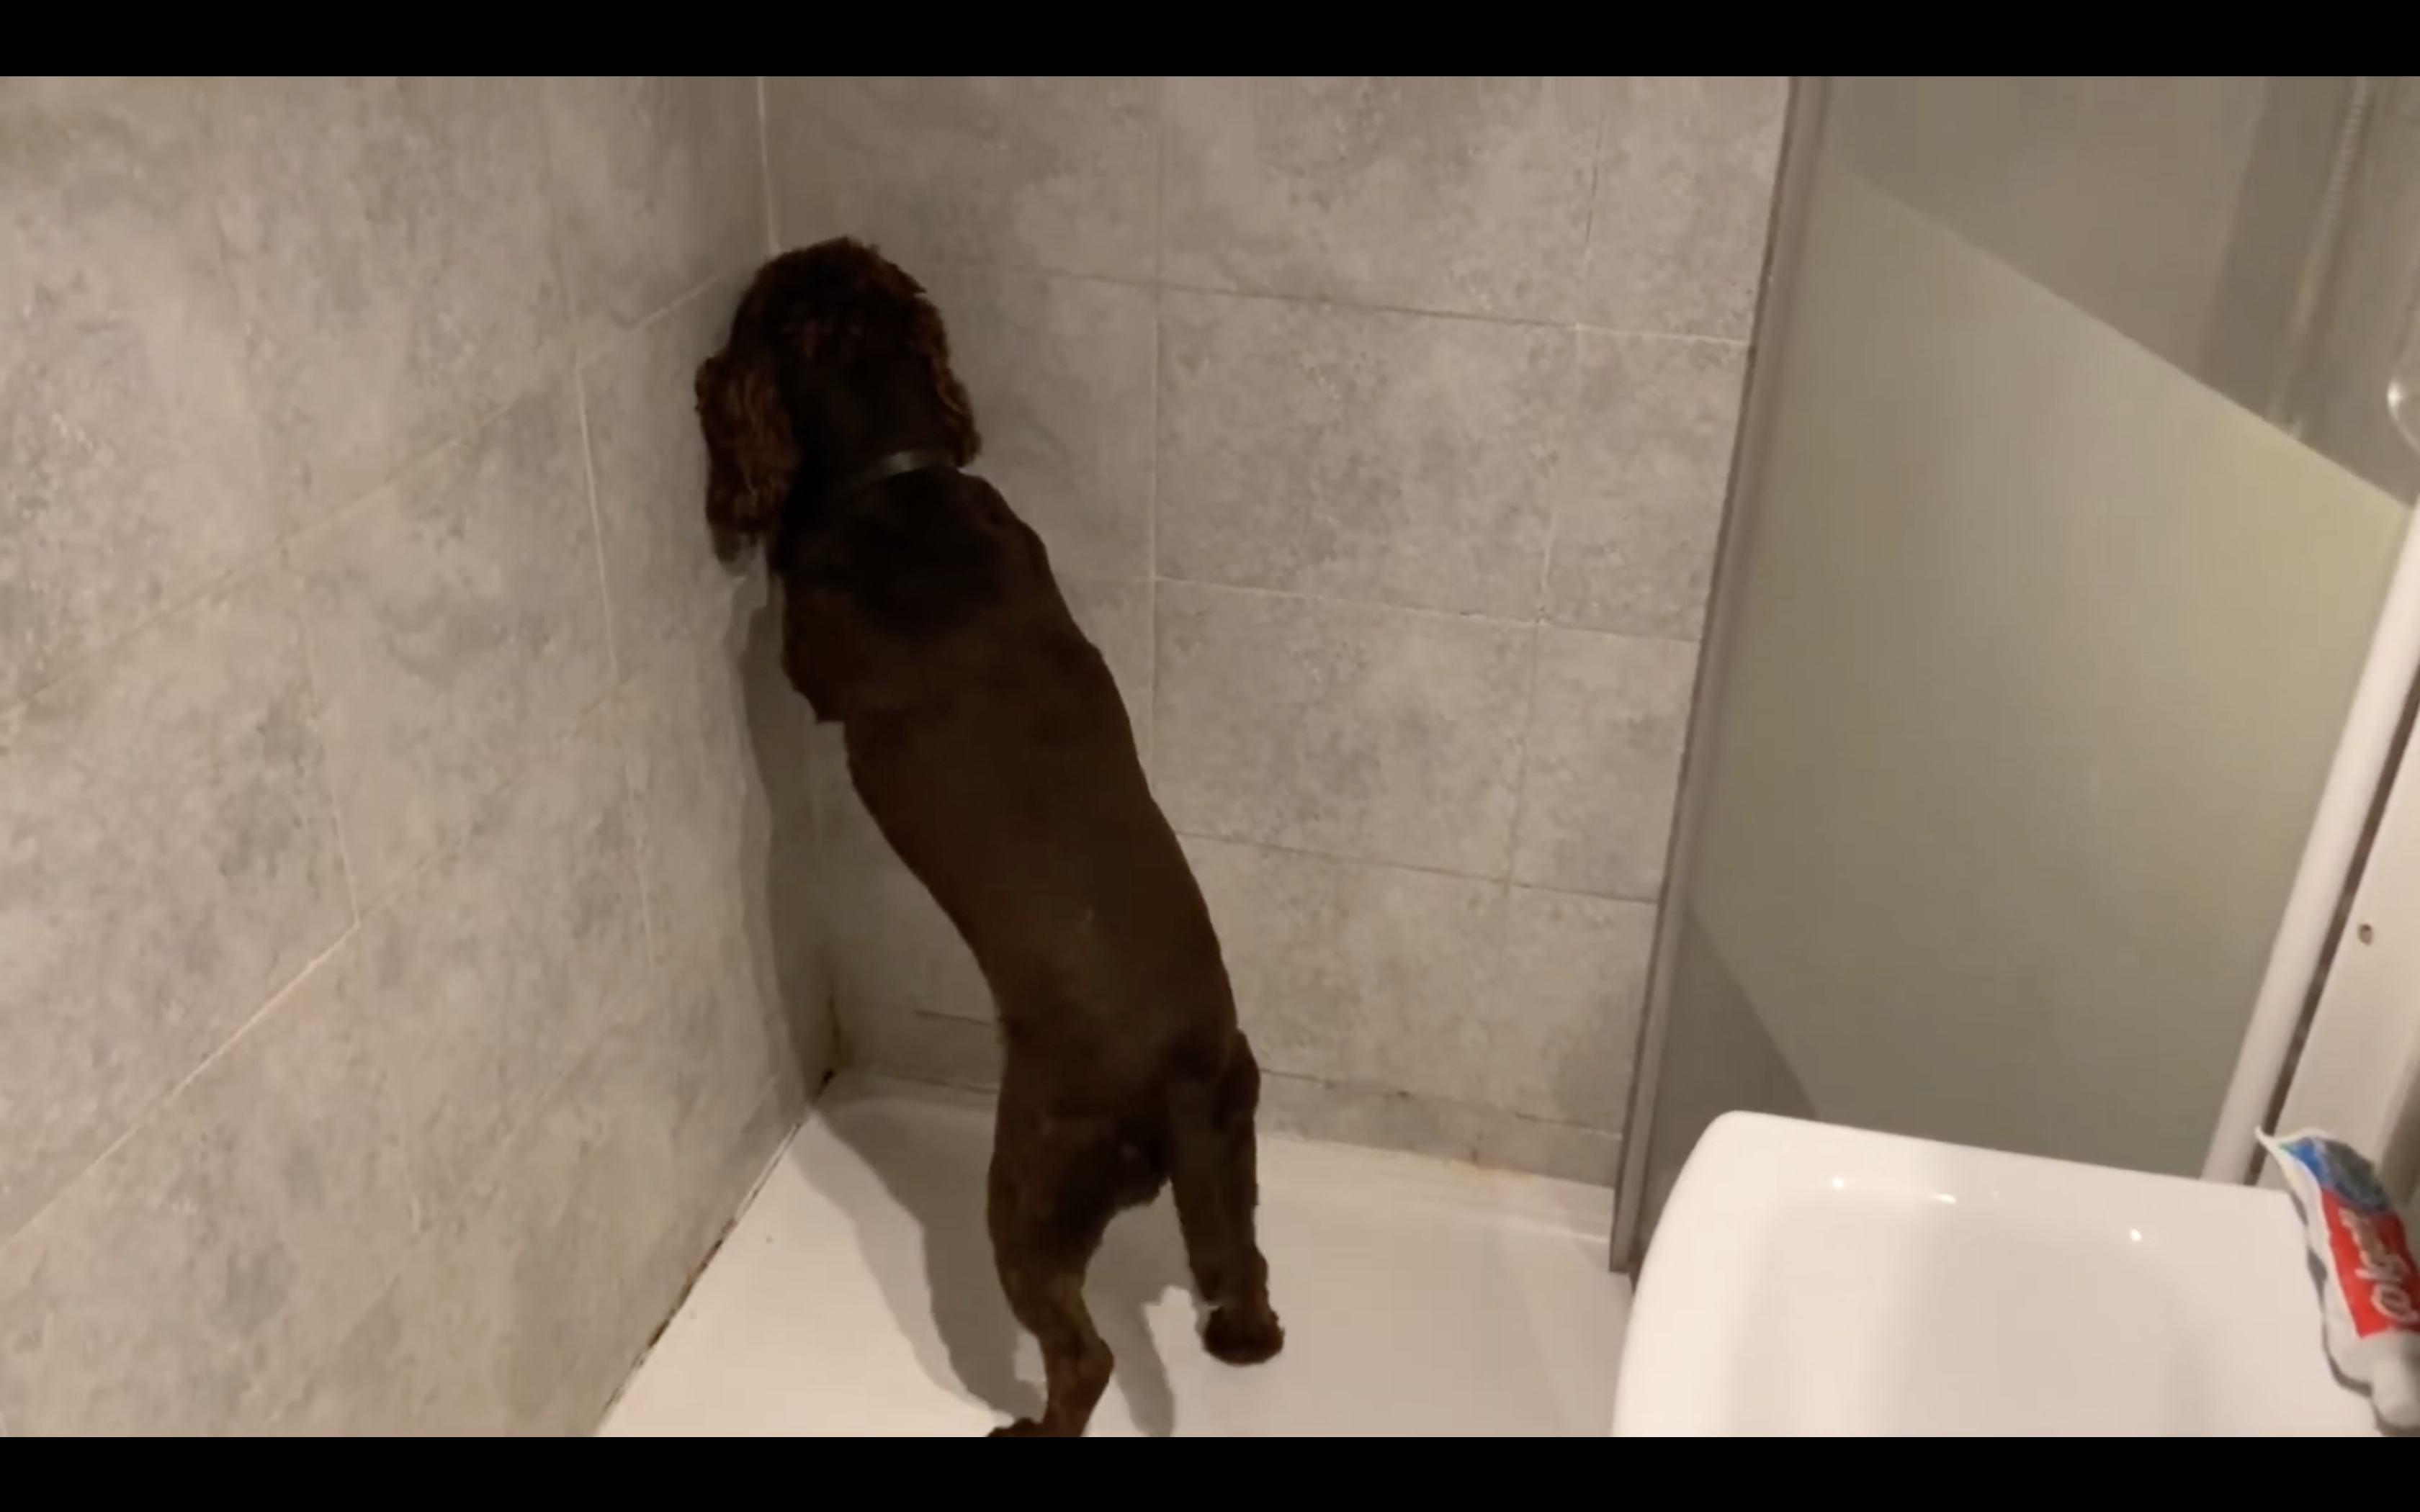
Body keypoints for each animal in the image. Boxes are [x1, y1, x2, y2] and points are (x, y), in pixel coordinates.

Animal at [694, 239, 1284, 1438]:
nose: (700, 372)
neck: (900, 477)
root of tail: (1175, 1079)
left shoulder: (805, 660)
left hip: (1029, 1189)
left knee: (1085, 1356)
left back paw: (1030, 1424)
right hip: (1236, 1139)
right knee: (1235, 1269)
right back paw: (1242, 1334)